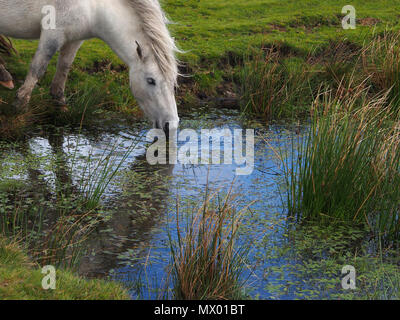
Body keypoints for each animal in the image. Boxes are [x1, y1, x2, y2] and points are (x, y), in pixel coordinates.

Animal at [0, 0, 180, 131]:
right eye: (151, 80)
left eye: (173, 83)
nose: (171, 124)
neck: (93, 7)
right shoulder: (52, 35)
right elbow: (38, 68)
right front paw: (19, 107)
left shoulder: (74, 39)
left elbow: (64, 67)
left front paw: (60, 104)